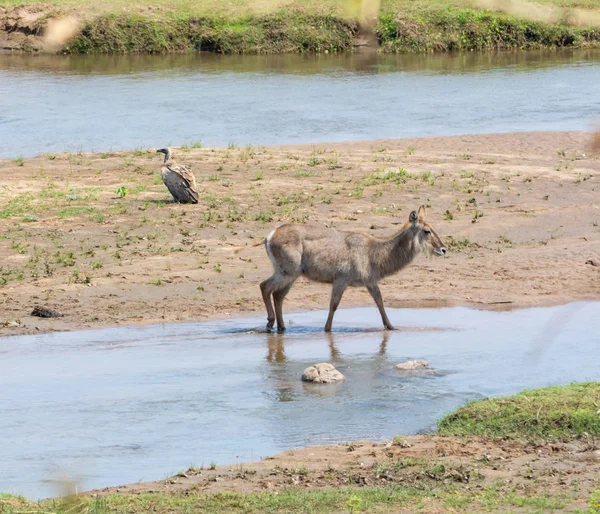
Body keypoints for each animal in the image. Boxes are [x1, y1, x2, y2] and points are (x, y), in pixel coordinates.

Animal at [253, 205, 446, 332]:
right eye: (427, 230)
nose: (443, 249)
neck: (373, 252)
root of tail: (270, 236)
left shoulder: (370, 282)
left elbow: (379, 301)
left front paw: (391, 327)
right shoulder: (341, 280)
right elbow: (334, 304)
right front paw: (327, 329)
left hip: (291, 275)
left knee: (278, 295)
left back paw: (282, 327)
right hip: (287, 272)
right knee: (265, 287)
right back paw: (270, 322)